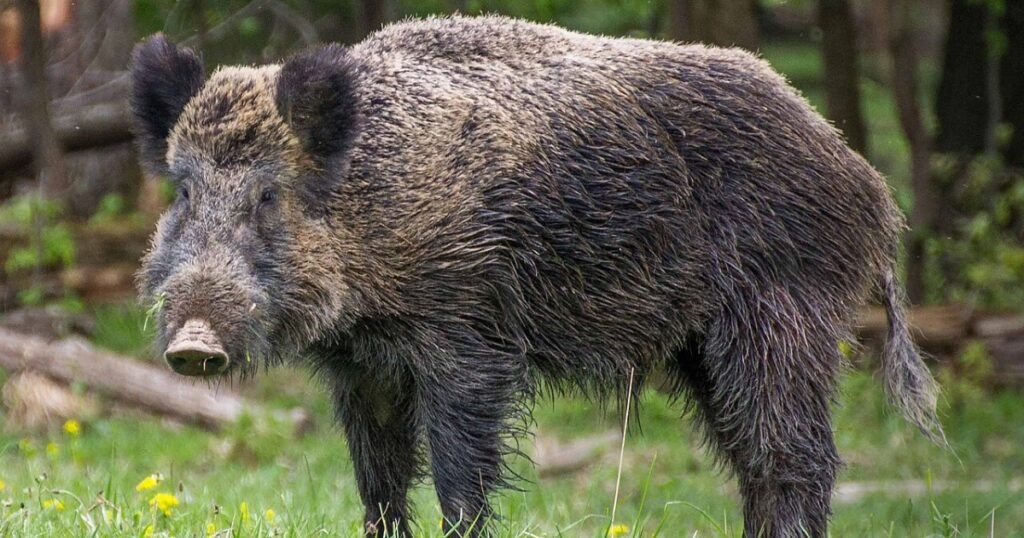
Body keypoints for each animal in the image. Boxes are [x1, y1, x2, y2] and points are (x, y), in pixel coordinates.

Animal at [131, 15, 942, 538]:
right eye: (183, 191)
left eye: (269, 195)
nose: (193, 344)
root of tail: (868, 184)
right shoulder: (362, 367)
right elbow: (379, 481)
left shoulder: (466, 337)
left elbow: (460, 475)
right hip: (704, 348)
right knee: (752, 460)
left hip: (782, 315)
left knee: (795, 459)